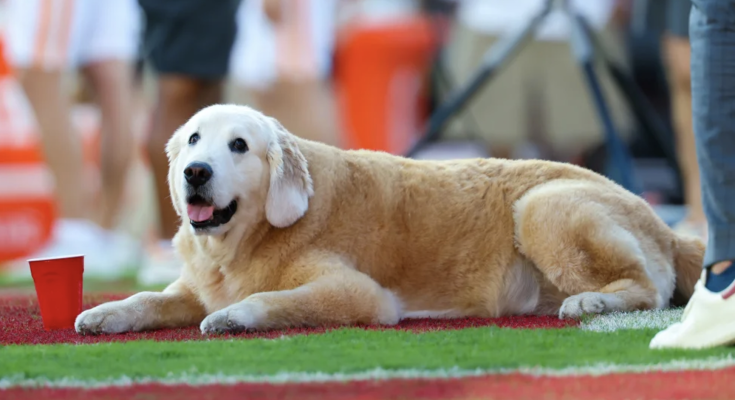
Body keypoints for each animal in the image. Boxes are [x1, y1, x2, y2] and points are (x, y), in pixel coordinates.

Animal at [73, 104, 700, 334]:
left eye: (240, 146)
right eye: (194, 140)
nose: (195, 172)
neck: (242, 243)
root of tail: (668, 225)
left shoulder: (358, 293)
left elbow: (272, 299)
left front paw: (232, 316)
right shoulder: (193, 285)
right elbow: (149, 298)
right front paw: (106, 312)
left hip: (542, 206)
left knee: (649, 289)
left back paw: (592, 303)